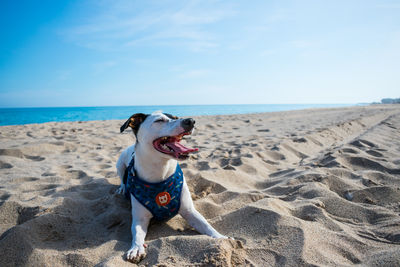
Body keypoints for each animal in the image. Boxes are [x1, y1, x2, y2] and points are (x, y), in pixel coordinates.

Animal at [115, 111, 228, 264]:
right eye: (159, 120)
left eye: (176, 117)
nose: (190, 121)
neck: (161, 173)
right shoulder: (140, 219)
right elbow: (137, 233)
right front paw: (137, 248)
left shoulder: (189, 211)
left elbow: (205, 224)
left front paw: (220, 237)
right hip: (120, 164)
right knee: (122, 178)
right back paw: (122, 188)